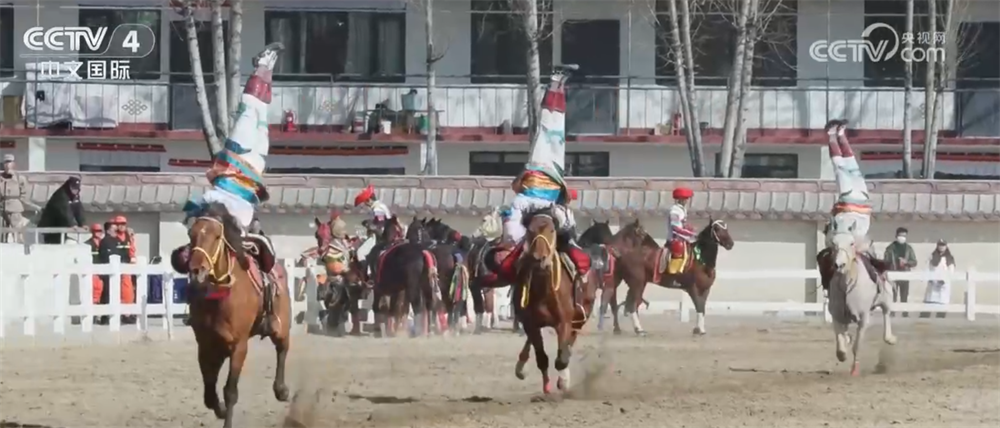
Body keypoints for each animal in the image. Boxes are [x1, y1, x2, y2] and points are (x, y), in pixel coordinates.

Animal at [179, 204, 291, 428]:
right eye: (191, 234)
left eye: (216, 236)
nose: (197, 270)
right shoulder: (206, 345)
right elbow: (209, 391)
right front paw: (220, 410)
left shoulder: (239, 346)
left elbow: (230, 391)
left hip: (281, 326)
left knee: (282, 349)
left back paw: (281, 389)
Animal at [513, 208, 599, 394]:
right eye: (530, 231)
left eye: (552, 230)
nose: (540, 259)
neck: (543, 289)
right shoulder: (530, 323)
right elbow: (542, 358)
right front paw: (546, 387)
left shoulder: (563, 322)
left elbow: (561, 358)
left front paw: (564, 381)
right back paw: (521, 366)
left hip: (581, 315)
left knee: (570, 341)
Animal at [828, 222, 897, 376]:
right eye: (833, 243)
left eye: (851, 243)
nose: (839, 265)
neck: (847, 286)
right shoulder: (837, 316)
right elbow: (840, 349)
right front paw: (843, 352)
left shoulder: (863, 318)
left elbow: (857, 346)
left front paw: (854, 369)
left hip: (887, 298)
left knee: (886, 314)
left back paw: (890, 338)